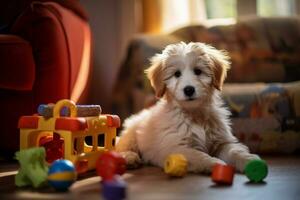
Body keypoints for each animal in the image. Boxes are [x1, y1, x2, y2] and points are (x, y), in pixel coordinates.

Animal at [116, 41, 258, 173]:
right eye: (177, 74)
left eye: (198, 71)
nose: (189, 89)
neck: (195, 114)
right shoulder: (176, 147)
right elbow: (198, 155)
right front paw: (214, 163)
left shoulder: (221, 141)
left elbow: (235, 151)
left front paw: (250, 161)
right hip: (131, 135)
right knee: (120, 147)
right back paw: (129, 157)